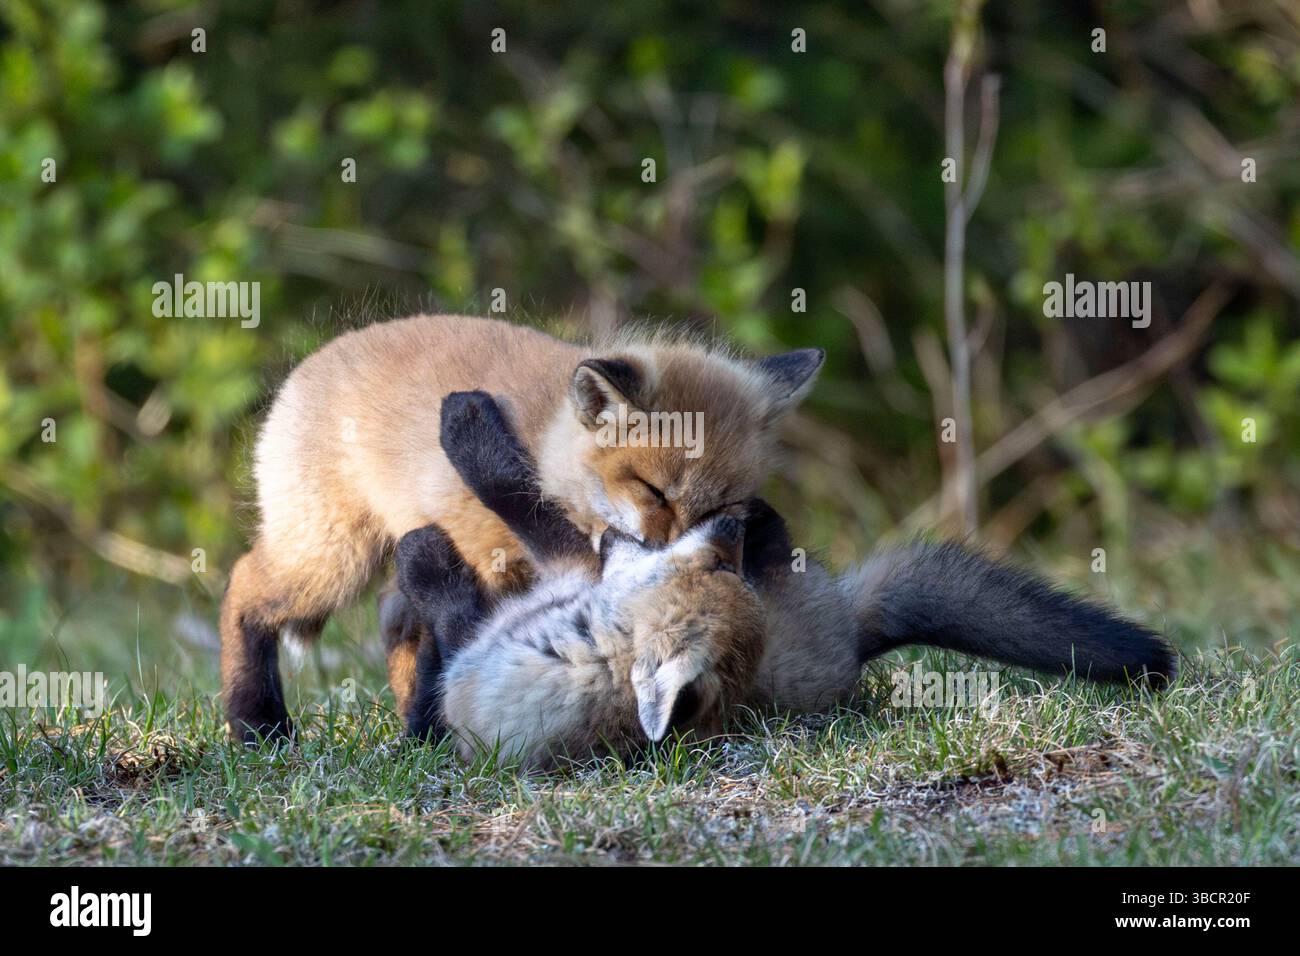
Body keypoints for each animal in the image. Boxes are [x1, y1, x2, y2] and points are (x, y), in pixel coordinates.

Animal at [221, 314, 823, 741]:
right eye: (652, 490)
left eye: (723, 505)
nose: (680, 556)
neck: (547, 449)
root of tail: (314, 360)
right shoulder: (486, 557)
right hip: (330, 560)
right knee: (242, 585)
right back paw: (256, 724)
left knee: (392, 619)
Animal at [397, 390, 1176, 768]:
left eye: (714, 564)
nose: (728, 530)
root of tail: (855, 637)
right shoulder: (568, 573)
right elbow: (524, 504)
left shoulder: (480, 648)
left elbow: (507, 507)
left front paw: (459, 441)